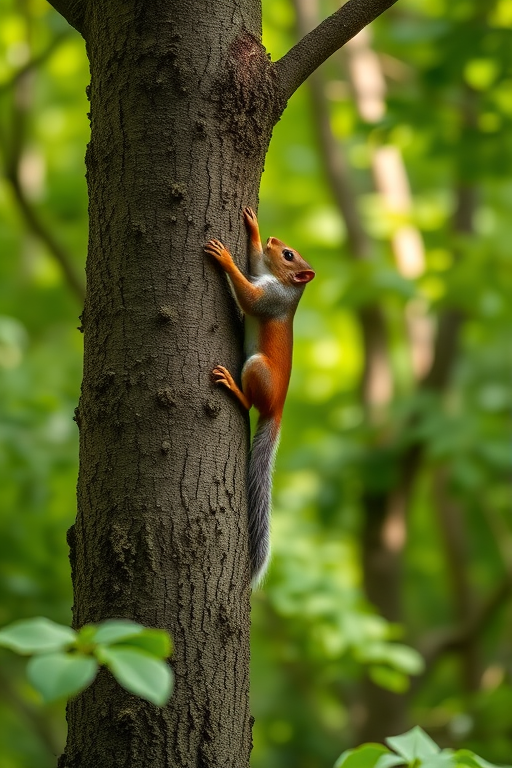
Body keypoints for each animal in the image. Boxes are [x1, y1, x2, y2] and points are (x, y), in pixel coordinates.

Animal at [204, 207, 315, 585]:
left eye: (289, 255)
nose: (274, 240)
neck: (285, 286)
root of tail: (277, 408)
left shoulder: (269, 298)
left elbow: (249, 296)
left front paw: (224, 257)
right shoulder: (260, 271)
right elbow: (252, 261)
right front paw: (253, 228)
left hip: (255, 369)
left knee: (249, 403)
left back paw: (233, 388)